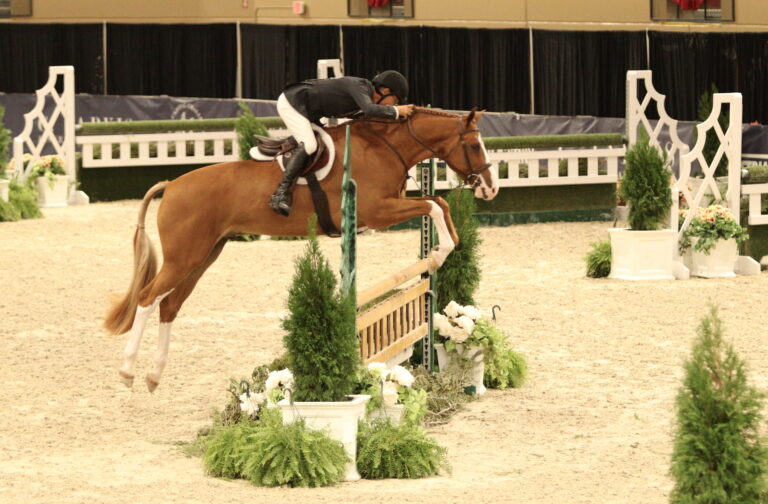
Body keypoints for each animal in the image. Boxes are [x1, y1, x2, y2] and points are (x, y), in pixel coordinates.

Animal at [104, 106, 498, 392]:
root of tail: (171, 185)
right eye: (474, 145)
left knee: (169, 305)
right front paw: (438, 254)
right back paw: (127, 371)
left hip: (203, 256)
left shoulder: (389, 207)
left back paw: (154, 376)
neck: (386, 147)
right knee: (147, 299)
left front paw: (440, 251)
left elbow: (438, 204)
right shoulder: (379, 210)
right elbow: (434, 205)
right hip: (183, 256)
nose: (490, 189)